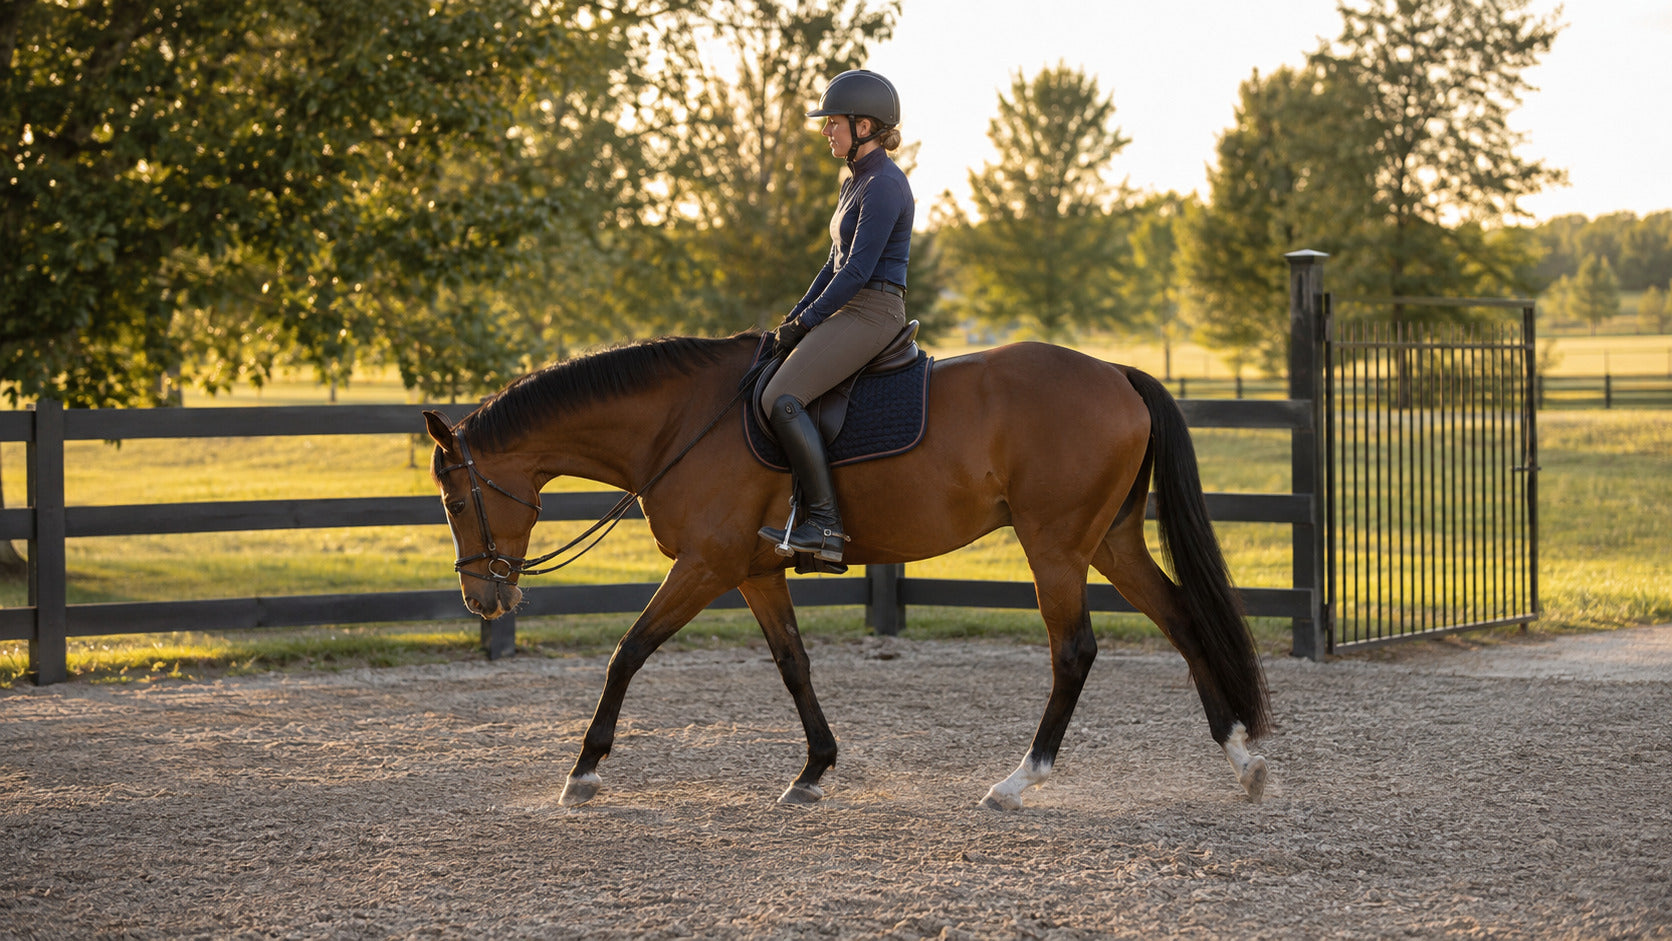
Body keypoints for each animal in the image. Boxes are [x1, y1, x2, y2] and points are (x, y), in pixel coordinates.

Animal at [423, 333, 1271, 810]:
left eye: (457, 499)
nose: (482, 597)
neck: (680, 422)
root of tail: (1118, 373)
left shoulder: (706, 563)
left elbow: (626, 652)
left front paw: (585, 770)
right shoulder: (754, 571)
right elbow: (794, 664)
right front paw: (813, 771)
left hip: (1056, 545)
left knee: (1075, 652)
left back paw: (1017, 781)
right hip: (1109, 541)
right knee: (1183, 619)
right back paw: (1242, 758)